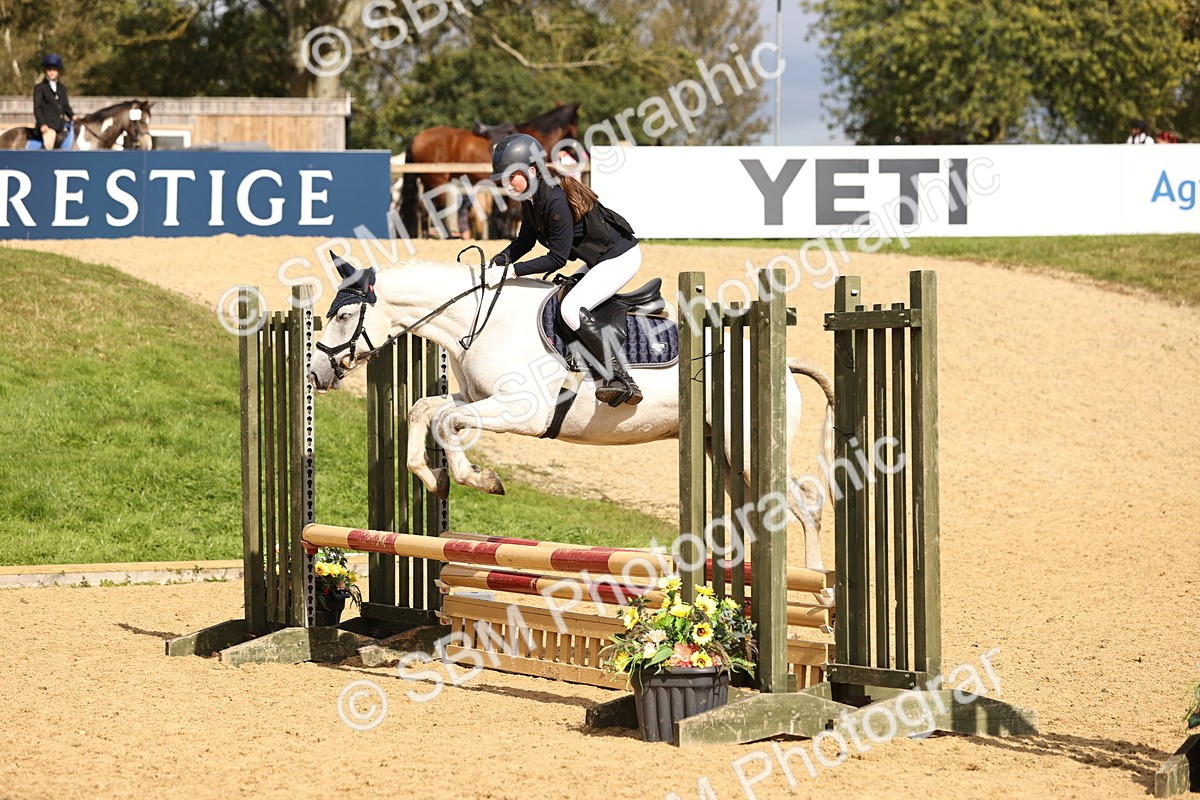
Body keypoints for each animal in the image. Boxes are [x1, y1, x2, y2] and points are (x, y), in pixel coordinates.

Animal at [307, 258, 836, 570]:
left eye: (341, 316)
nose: (315, 372)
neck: (481, 320)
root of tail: (783, 363)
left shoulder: (523, 412)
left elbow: (447, 423)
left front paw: (480, 478)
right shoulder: (478, 397)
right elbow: (425, 411)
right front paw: (434, 479)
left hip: (744, 449)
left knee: (806, 506)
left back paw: (816, 591)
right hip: (722, 451)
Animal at [398, 103, 582, 239]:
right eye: (575, 126)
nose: (576, 153)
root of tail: (416, 139)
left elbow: (503, 214)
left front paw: (503, 234)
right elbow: (512, 213)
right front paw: (508, 235)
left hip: (428, 181)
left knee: (424, 207)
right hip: (437, 181)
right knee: (437, 208)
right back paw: (446, 235)